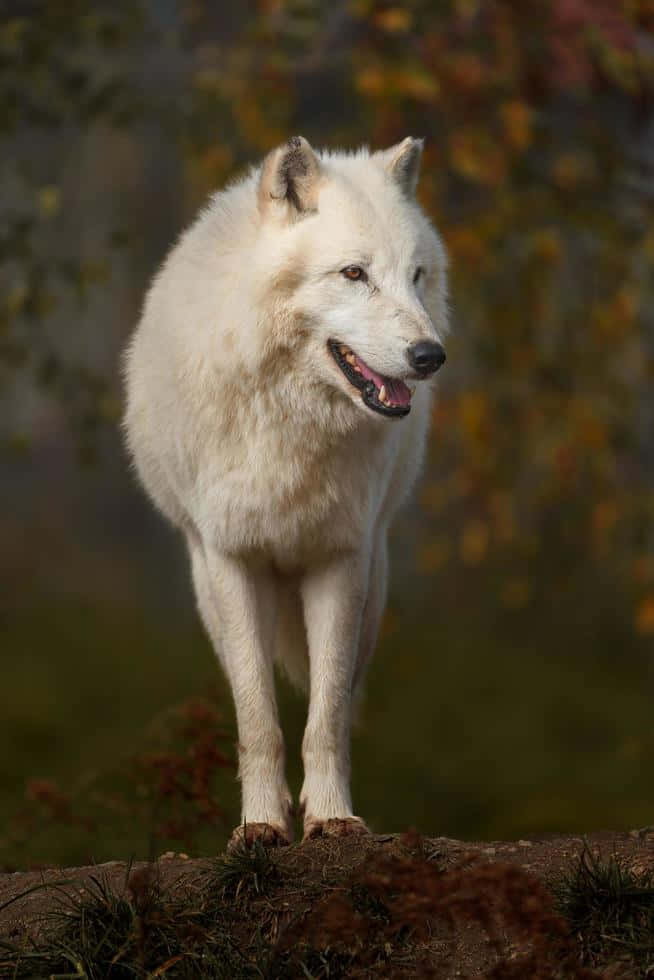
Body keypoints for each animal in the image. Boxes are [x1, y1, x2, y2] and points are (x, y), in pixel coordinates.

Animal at [121, 138, 452, 848]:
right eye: (354, 273)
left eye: (415, 275)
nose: (429, 355)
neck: (293, 424)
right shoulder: (231, 560)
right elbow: (257, 717)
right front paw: (261, 826)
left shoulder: (341, 560)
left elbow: (325, 715)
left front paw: (330, 818)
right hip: (209, 589)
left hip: (375, 589)